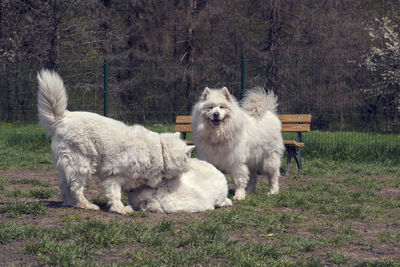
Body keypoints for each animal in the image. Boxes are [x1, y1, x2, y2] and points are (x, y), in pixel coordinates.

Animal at [37, 70, 194, 215]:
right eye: (188, 158)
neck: (160, 152)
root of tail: (63, 117)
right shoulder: (114, 176)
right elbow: (115, 194)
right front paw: (120, 209)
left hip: (69, 168)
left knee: (65, 187)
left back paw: (70, 203)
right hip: (81, 166)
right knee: (75, 188)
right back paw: (86, 205)